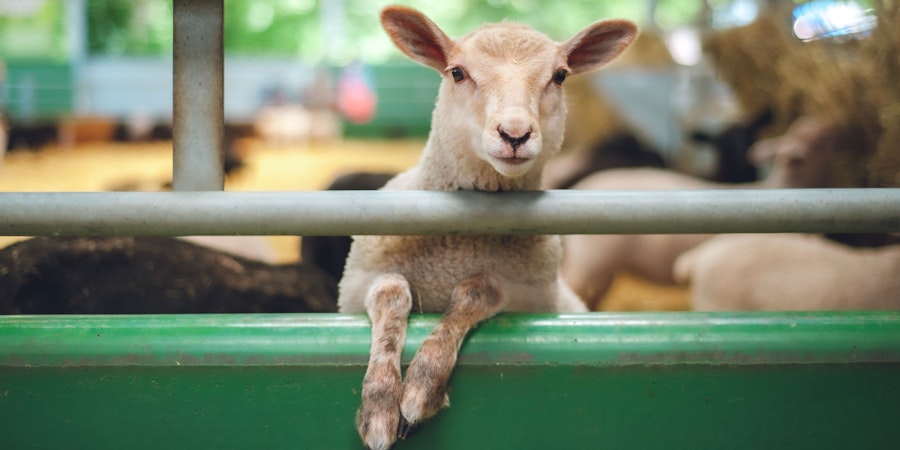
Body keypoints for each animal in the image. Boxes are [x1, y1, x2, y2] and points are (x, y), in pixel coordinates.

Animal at [337, 6, 636, 449]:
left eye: (560, 75)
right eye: (457, 72)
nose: (515, 134)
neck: (460, 246)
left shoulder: (527, 296)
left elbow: (477, 291)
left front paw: (420, 390)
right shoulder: (355, 287)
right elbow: (392, 293)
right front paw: (379, 404)